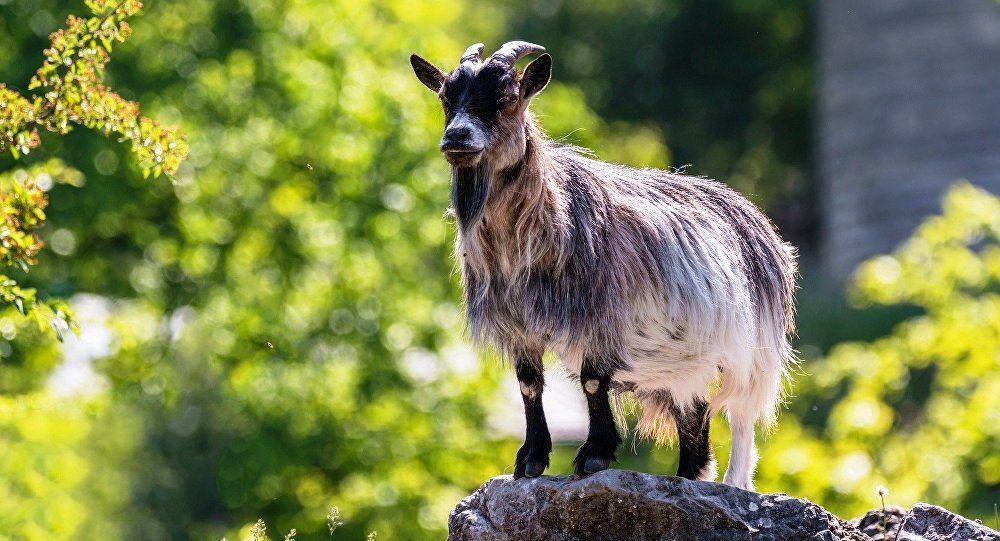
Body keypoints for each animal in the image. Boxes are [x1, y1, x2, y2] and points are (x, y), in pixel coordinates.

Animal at [409, 41, 797, 490]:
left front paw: (593, 455)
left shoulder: (600, 318)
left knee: (741, 420)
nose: (457, 136)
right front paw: (530, 459)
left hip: (752, 354)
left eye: (506, 96)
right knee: (694, 418)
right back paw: (687, 476)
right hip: (683, 361)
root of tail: (759, 222)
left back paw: (733, 483)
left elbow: (594, 382)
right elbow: (529, 386)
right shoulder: (518, 325)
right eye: (445, 97)